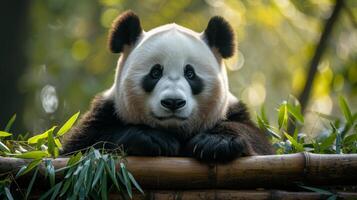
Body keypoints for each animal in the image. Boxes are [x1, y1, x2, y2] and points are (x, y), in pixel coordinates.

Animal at [62, 10, 272, 162]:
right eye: (155, 72)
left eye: (190, 73)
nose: (173, 102)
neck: (174, 130)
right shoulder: (107, 111)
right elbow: (82, 147)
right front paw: (153, 139)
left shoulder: (232, 111)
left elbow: (258, 142)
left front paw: (216, 142)